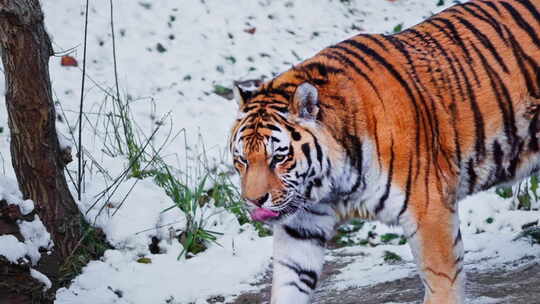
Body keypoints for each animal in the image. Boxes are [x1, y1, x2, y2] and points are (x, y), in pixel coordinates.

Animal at [228, 0, 540, 302]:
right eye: (242, 160)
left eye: (278, 158)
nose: (254, 201)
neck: (330, 185)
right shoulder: (301, 228)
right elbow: (288, 283)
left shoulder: (430, 212)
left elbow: (441, 282)